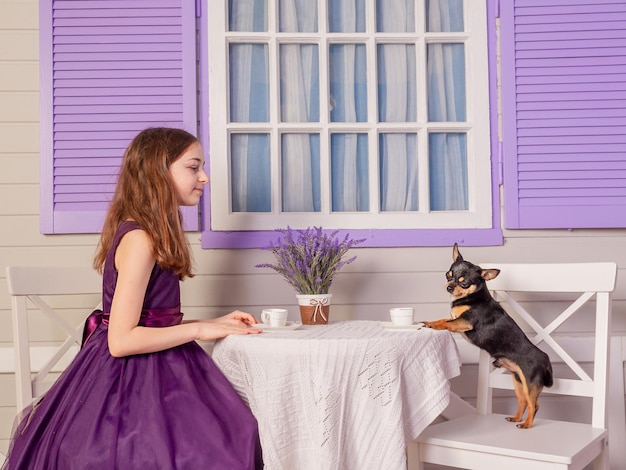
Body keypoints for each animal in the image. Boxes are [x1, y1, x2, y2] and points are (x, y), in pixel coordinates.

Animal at [420, 244, 552, 428]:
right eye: (448, 275)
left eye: (464, 283)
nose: (449, 287)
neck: (471, 297)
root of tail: (545, 358)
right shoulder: (457, 319)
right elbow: (444, 319)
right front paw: (431, 321)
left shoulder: (465, 322)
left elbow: (446, 323)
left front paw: (432, 325)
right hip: (518, 381)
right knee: (524, 402)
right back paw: (516, 418)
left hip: (530, 384)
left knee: (534, 405)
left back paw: (526, 424)